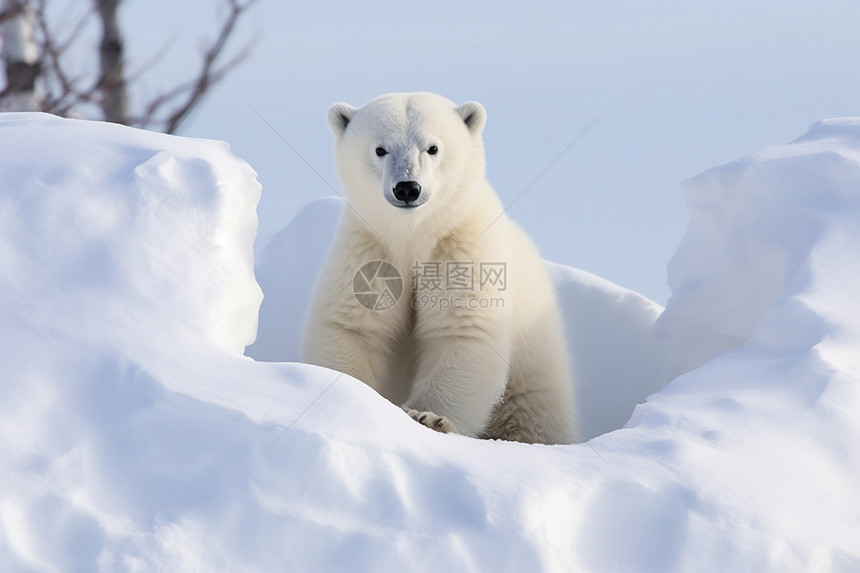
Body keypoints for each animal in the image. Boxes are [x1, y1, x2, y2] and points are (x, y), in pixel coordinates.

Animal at [302, 92, 576, 442]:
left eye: (432, 147)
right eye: (380, 149)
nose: (407, 187)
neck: (414, 233)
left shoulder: (461, 245)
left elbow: (461, 329)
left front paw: (428, 418)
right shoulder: (370, 247)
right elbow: (353, 327)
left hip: (533, 386)